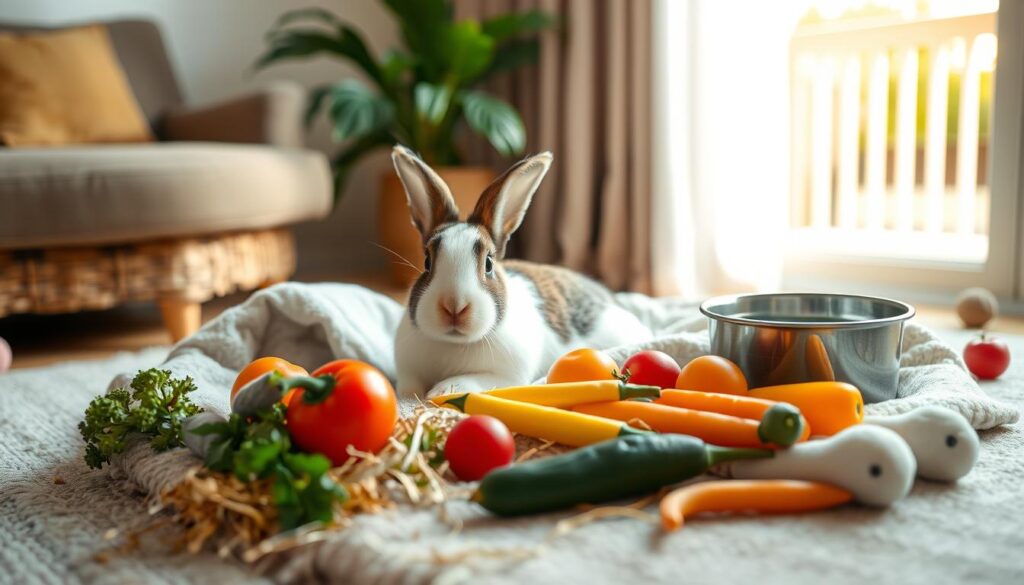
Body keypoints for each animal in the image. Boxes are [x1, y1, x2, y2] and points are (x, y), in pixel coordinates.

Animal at [387, 144, 651, 401]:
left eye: (489, 263)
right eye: (427, 262)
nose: (454, 307)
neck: (453, 343)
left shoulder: (505, 376)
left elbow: (469, 380)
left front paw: (441, 391)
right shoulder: (408, 371)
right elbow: (408, 387)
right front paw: (410, 394)